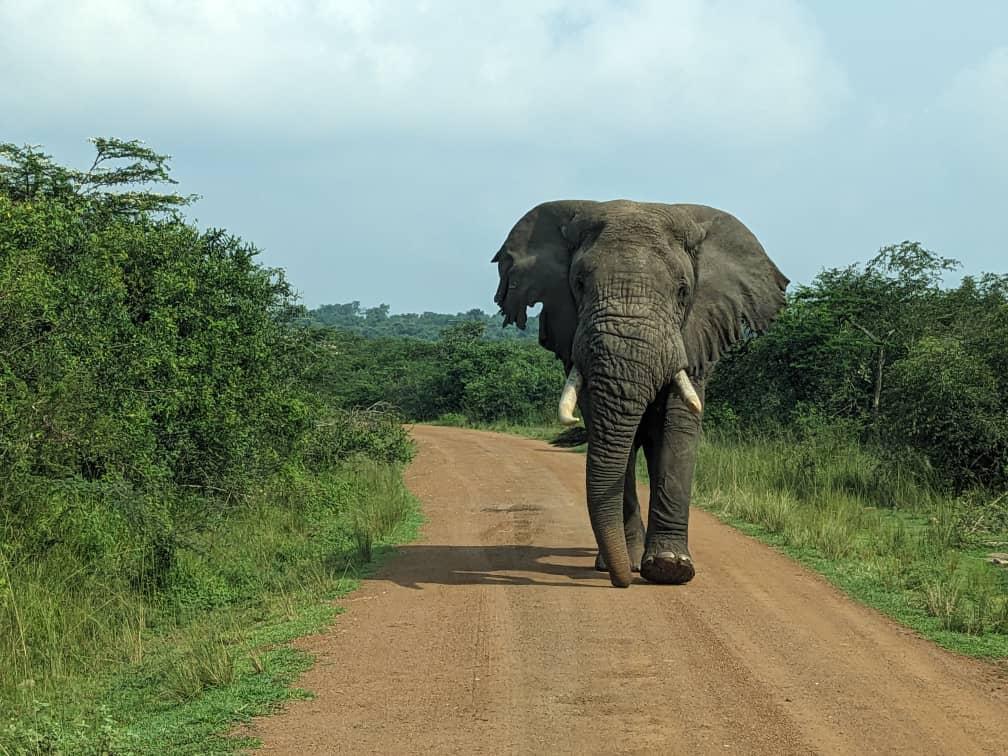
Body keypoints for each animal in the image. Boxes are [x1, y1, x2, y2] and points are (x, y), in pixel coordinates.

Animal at [492, 200, 788, 588]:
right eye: (579, 284)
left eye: (682, 291)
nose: (622, 582)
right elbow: (612, 434)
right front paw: (627, 563)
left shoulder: (696, 330)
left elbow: (679, 423)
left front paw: (670, 568)